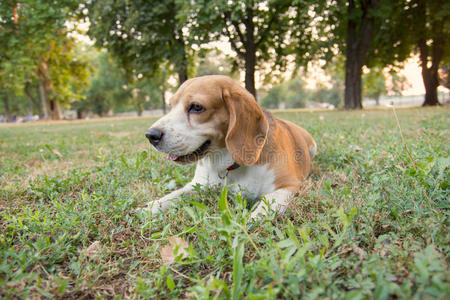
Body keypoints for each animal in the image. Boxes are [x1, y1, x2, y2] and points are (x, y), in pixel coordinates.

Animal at [146, 74, 314, 218]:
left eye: (196, 107)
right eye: (171, 105)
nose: (150, 135)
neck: (228, 164)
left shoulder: (290, 186)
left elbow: (266, 206)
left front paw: (251, 220)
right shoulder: (196, 185)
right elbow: (173, 195)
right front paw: (150, 207)